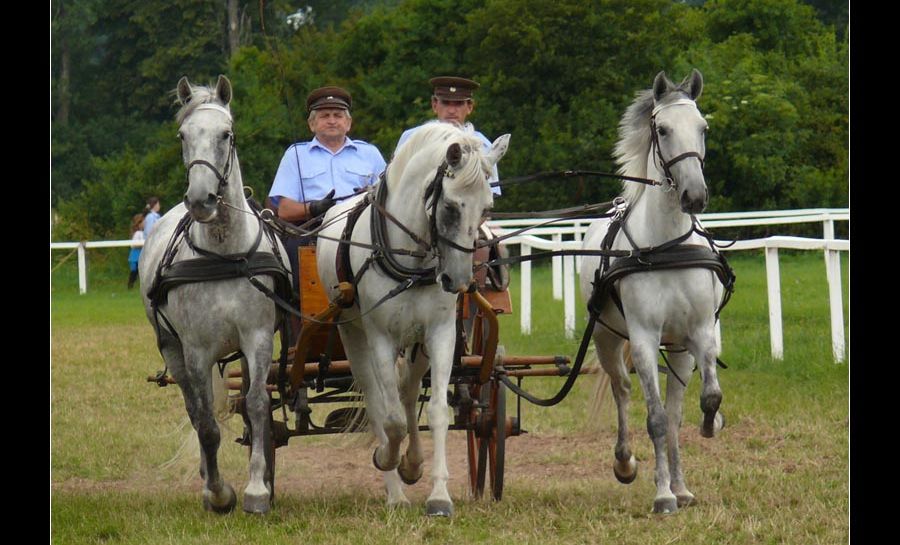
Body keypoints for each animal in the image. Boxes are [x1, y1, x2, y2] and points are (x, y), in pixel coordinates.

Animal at [140, 76, 288, 516]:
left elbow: (256, 405)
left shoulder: (257, 337)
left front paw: (257, 490)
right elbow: (206, 423)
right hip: (171, 348)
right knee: (195, 410)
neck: (224, 254)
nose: (200, 200)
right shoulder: (196, 349)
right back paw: (209, 480)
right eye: (183, 135)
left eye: (227, 134)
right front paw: (219, 493)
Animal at [576, 70, 732, 512]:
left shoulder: (700, 332)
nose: (694, 195)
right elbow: (656, 418)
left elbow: (706, 399)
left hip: (677, 349)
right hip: (609, 340)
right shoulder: (644, 338)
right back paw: (626, 463)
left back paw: (681, 486)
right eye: (663, 130)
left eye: (703, 128)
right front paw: (662, 496)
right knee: (624, 391)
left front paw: (711, 426)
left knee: (677, 407)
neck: (665, 248)